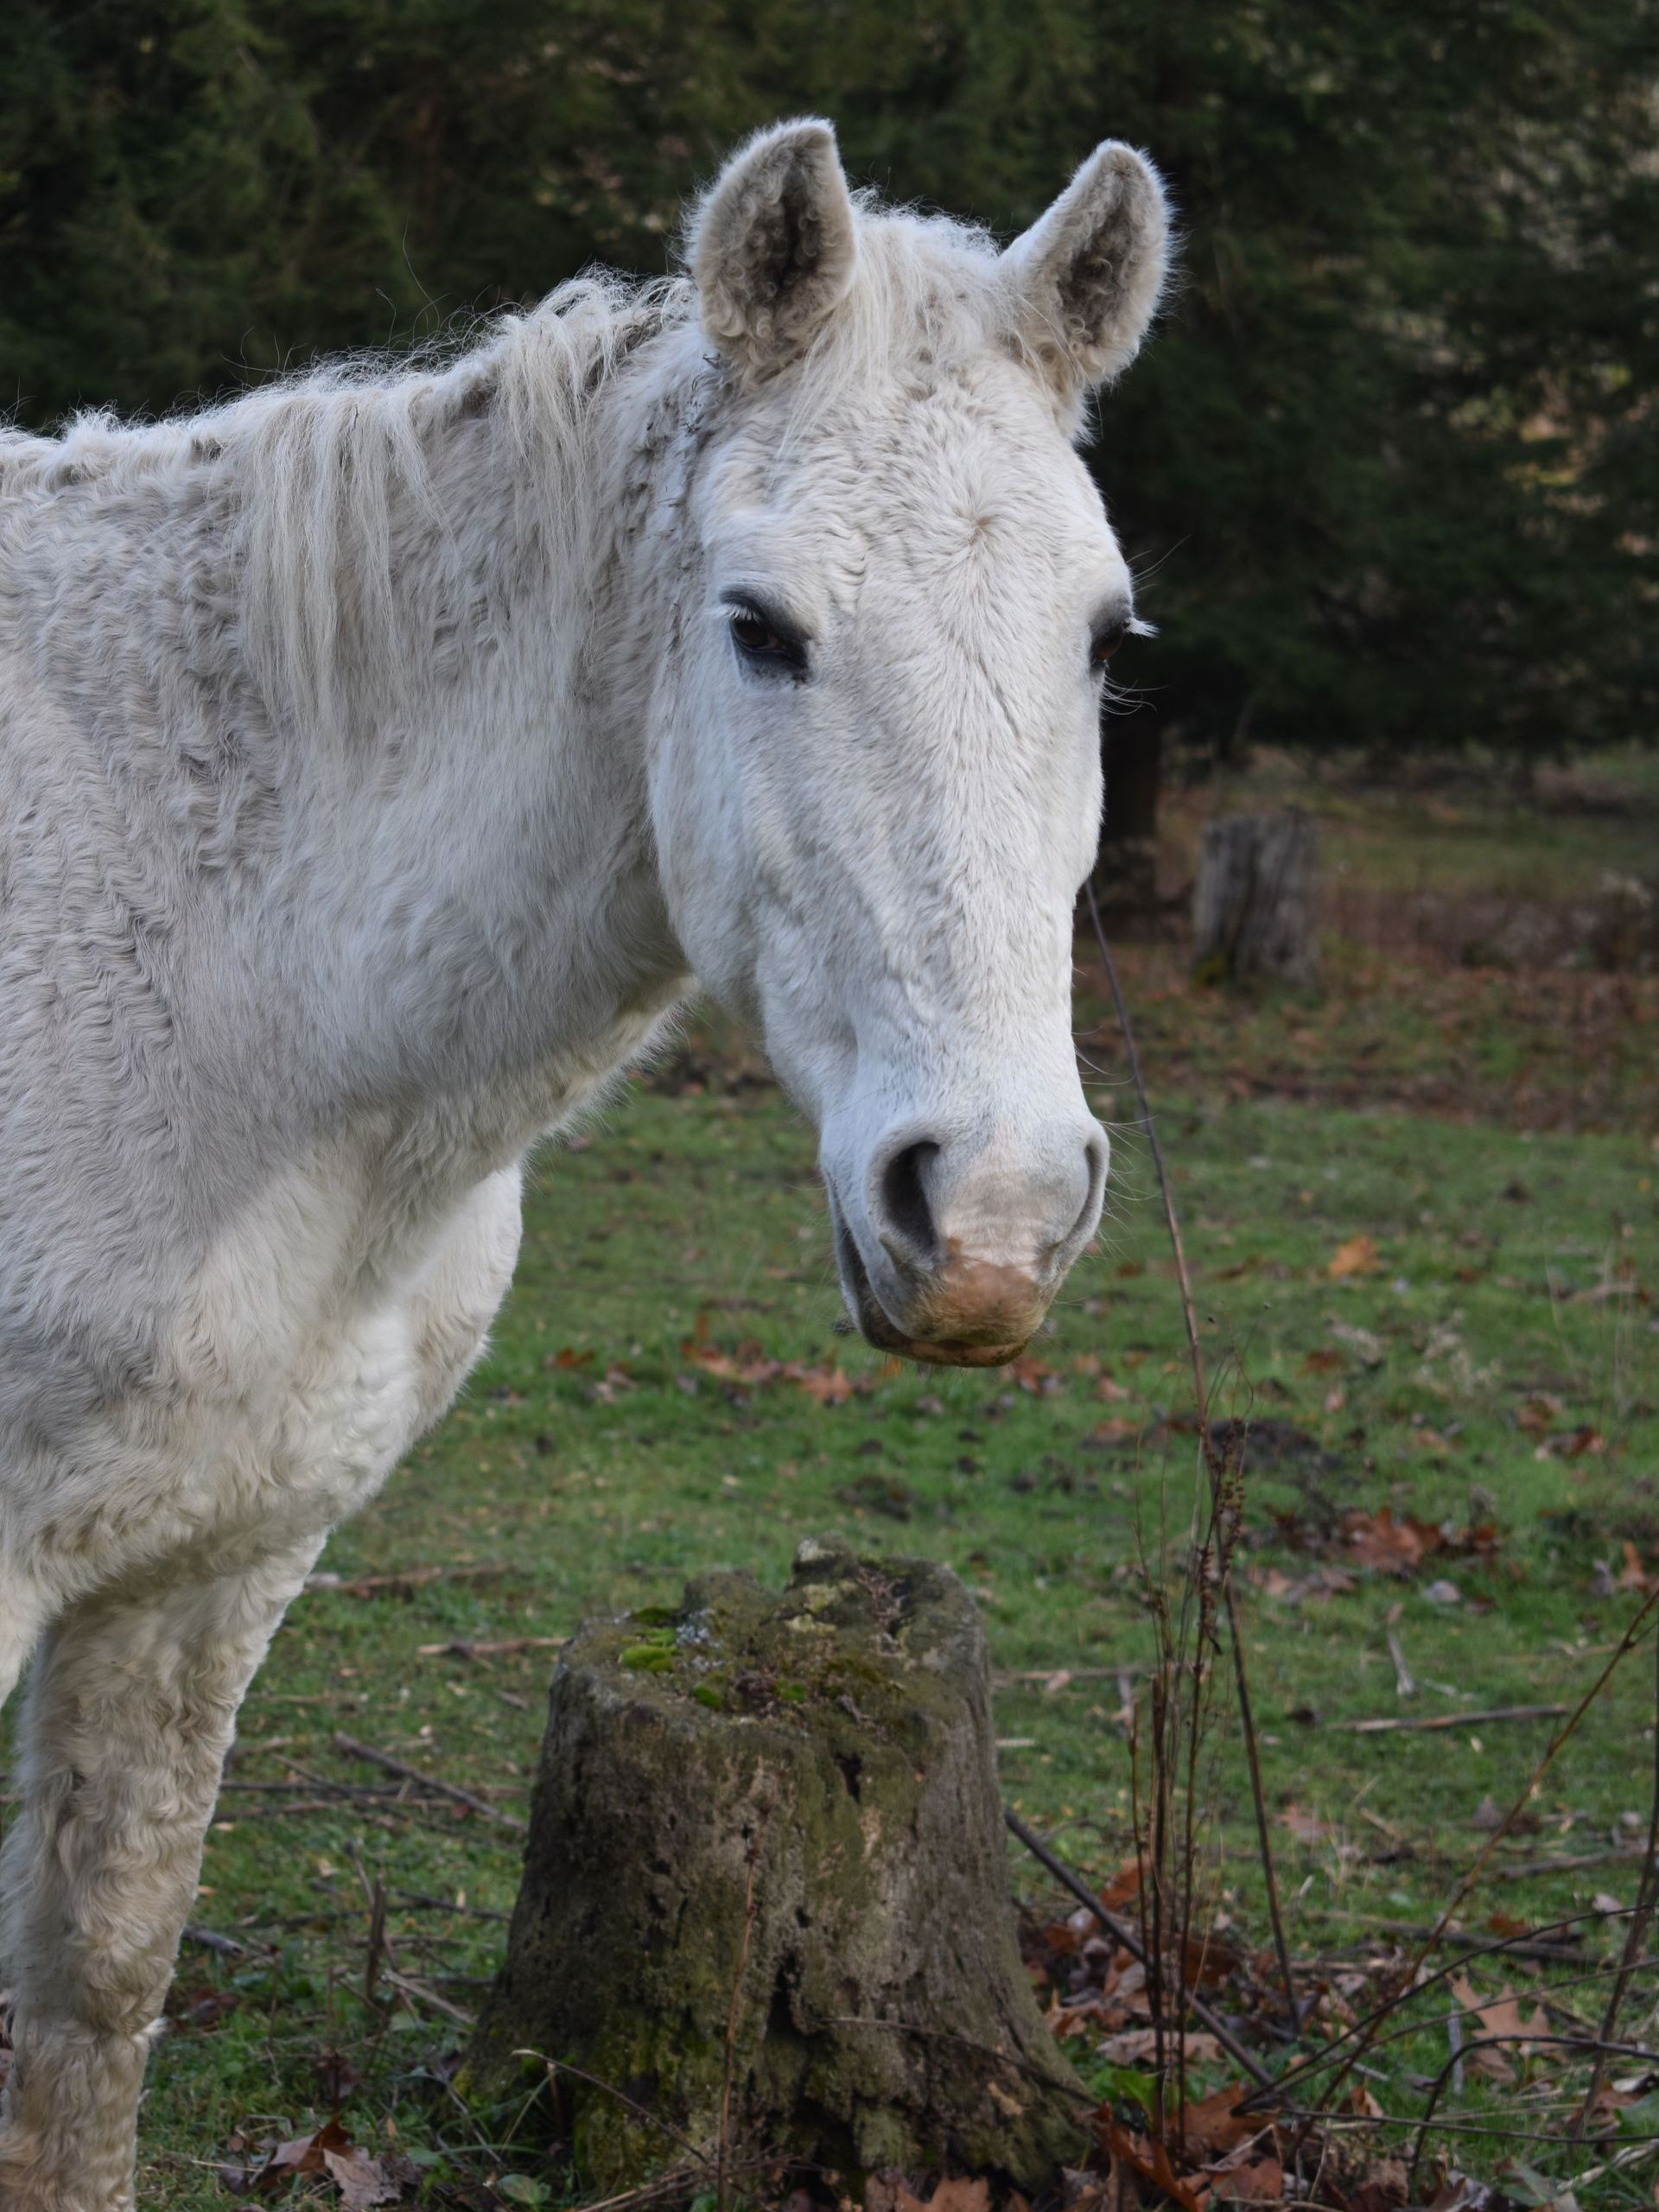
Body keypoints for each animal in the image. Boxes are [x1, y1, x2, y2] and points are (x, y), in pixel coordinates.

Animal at [0, 125, 1167, 2212]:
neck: (220, 974)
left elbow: (94, 1999)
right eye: (759, 627)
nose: (993, 1218)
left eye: (1104, 638)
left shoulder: (207, 1570)